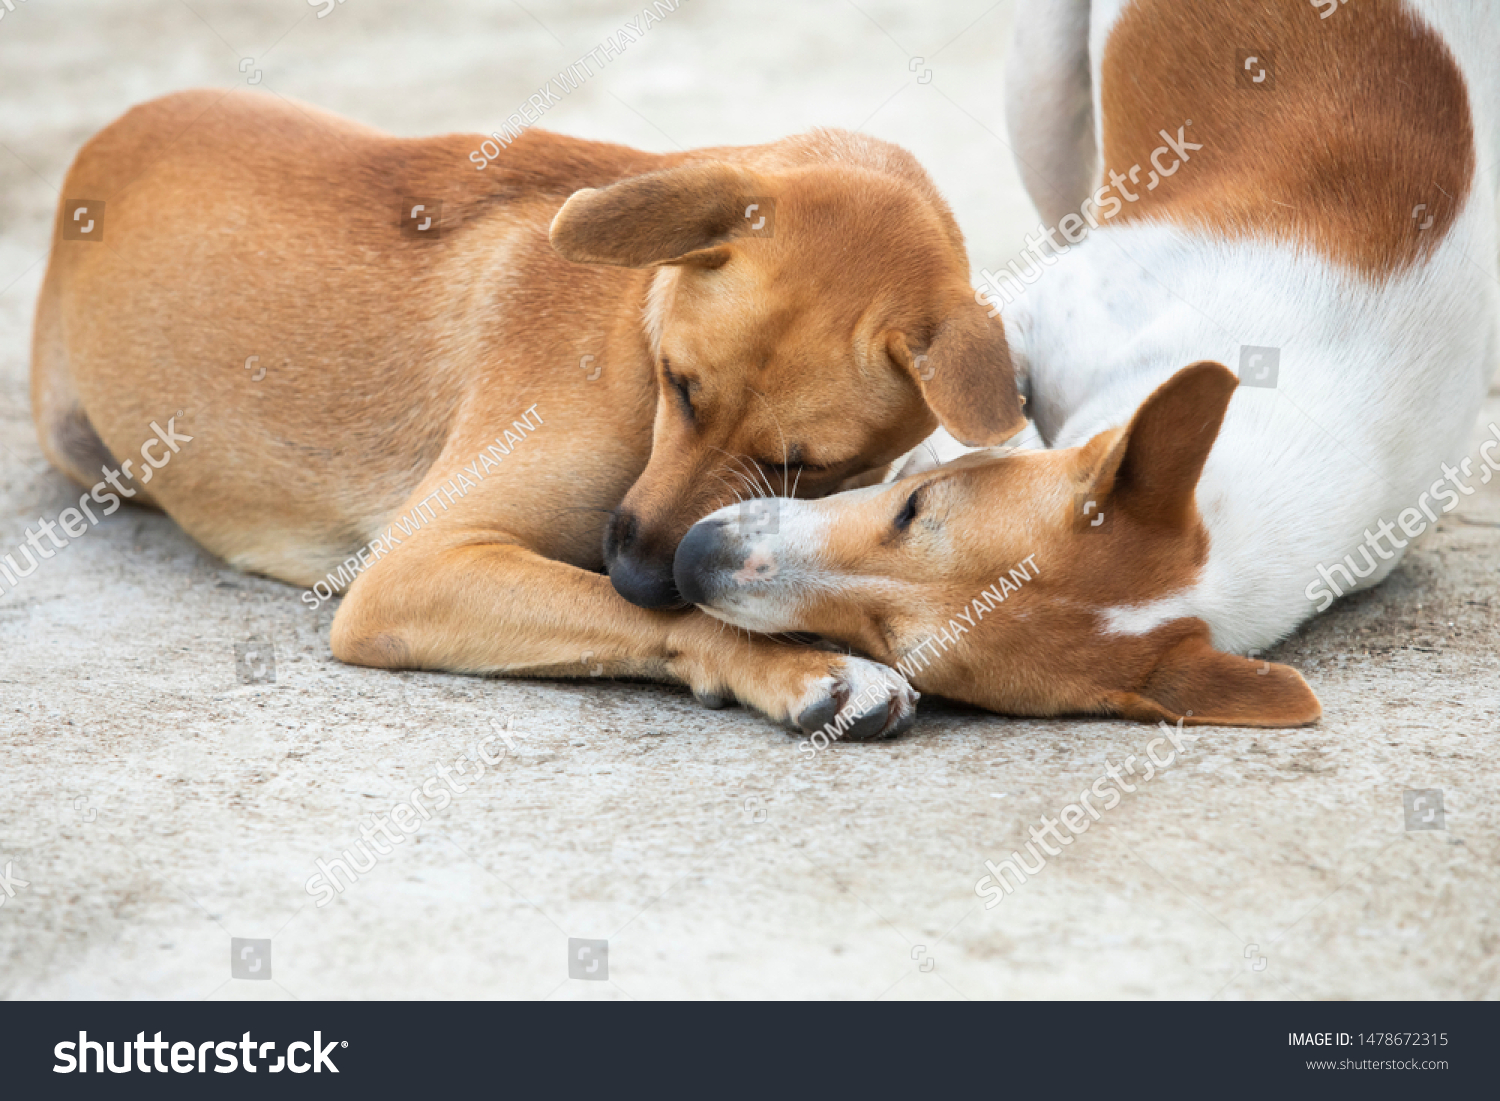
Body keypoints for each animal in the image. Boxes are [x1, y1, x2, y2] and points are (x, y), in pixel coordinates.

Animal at [29, 88, 1026, 741]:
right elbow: (662, 615)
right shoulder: (415, 566)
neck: (629, 326)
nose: (642, 571)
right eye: (679, 383)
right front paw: (804, 665)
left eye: (809, 465)